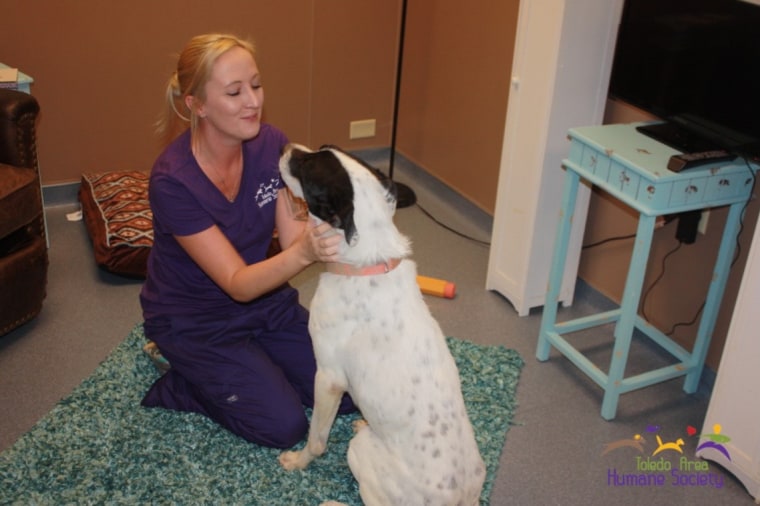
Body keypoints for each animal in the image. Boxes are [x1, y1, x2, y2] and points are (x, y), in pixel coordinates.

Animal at [276, 143, 484, 506]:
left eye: (307, 165)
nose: (286, 147)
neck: (367, 263)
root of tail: (457, 499)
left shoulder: (328, 377)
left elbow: (317, 438)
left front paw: (298, 461)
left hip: (359, 452)